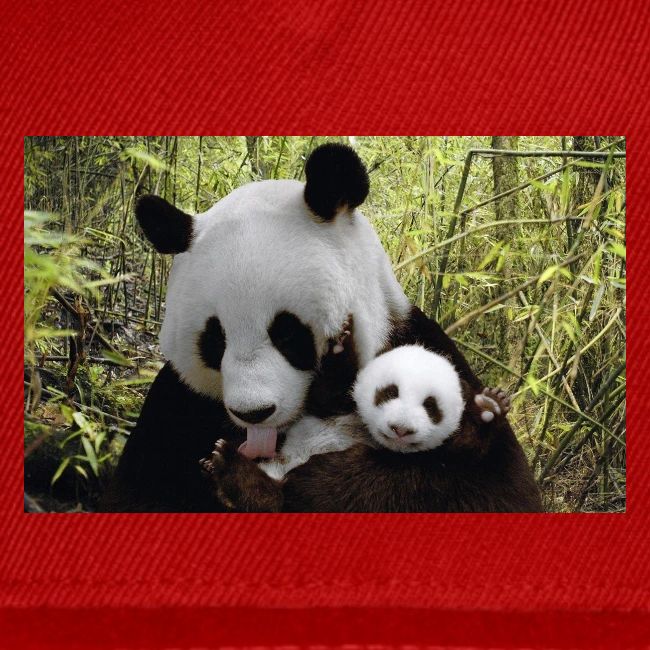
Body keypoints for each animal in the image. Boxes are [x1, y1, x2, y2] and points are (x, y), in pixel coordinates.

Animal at [100, 143, 542, 513]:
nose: (254, 413)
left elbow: (489, 488)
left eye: (287, 333)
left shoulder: (421, 347)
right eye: (215, 339)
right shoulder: (178, 405)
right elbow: (139, 492)